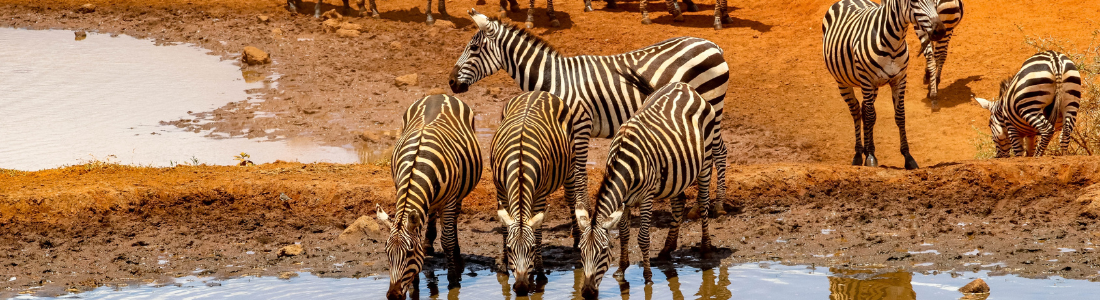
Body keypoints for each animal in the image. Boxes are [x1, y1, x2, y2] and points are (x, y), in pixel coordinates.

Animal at [374, 93, 481, 298]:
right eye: (386, 252)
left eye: (409, 253)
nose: (394, 296)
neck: (418, 164)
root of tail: (439, 94)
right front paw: (415, 284)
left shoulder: (449, 200)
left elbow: (447, 240)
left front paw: (453, 280)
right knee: (431, 214)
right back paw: (429, 244)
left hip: (458, 192)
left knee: (453, 221)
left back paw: (457, 253)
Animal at [446, 9, 730, 213]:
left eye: (473, 49)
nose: (450, 82)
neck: (554, 79)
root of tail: (713, 45)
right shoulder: (564, 130)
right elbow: (570, 176)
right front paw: (572, 207)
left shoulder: (581, 126)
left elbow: (580, 174)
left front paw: (582, 208)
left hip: (712, 107)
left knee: (719, 152)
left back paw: (714, 205)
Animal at [492, 90, 594, 294]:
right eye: (510, 249)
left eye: (531, 249)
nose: (521, 287)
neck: (520, 165)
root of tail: (537, 92)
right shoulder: (501, 190)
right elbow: (504, 228)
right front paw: (503, 265)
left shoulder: (539, 195)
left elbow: (538, 234)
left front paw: (539, 271)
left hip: (570, 163)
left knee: (571, 198)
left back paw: (577, 238)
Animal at [572, 82, 726, 298]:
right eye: (581, 250)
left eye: (604, 250)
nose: (586, 292)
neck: (625, 163)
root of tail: (685, 86)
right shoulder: (624, 200)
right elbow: (624, 234)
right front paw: (621, 270)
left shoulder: (646, 197)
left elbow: (643, 238)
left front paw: (648, 277)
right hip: (676, 172)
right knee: (678, 203)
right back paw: (666, 249)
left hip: (706, 158)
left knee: (703, 201)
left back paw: (705, 248)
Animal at [822, 0, 950, 168]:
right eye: (914, 1)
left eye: (935, 1)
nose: (940, 31)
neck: (893, 44)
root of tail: (846, 1)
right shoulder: (867, 80)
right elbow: (870, 117)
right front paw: (870, 157)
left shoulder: (900, 79)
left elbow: (900, 116)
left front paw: (908, 157)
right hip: (843, 81)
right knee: (856, 111)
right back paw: (859, 155)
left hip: (873, 87)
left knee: (864, 109)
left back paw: (865, 151)